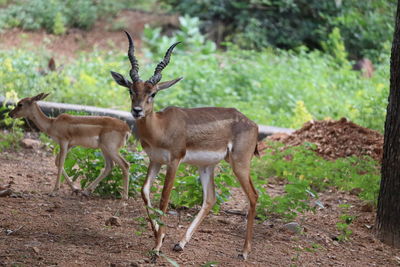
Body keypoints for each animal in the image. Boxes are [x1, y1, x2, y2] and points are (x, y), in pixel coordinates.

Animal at [110, 30, 260, 260]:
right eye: (131, 90)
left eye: (153, 93)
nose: (137, 111)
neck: (160, 127)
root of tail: (252, 123)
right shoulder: (155, 160)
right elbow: (144, 192)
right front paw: (160, 237)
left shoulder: (174, 161)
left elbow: (164, 198)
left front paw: (156, 247)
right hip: (206, 166)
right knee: (211, 198)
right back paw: (180, 244)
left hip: (240, 163)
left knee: (253, 196)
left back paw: (244, 252)